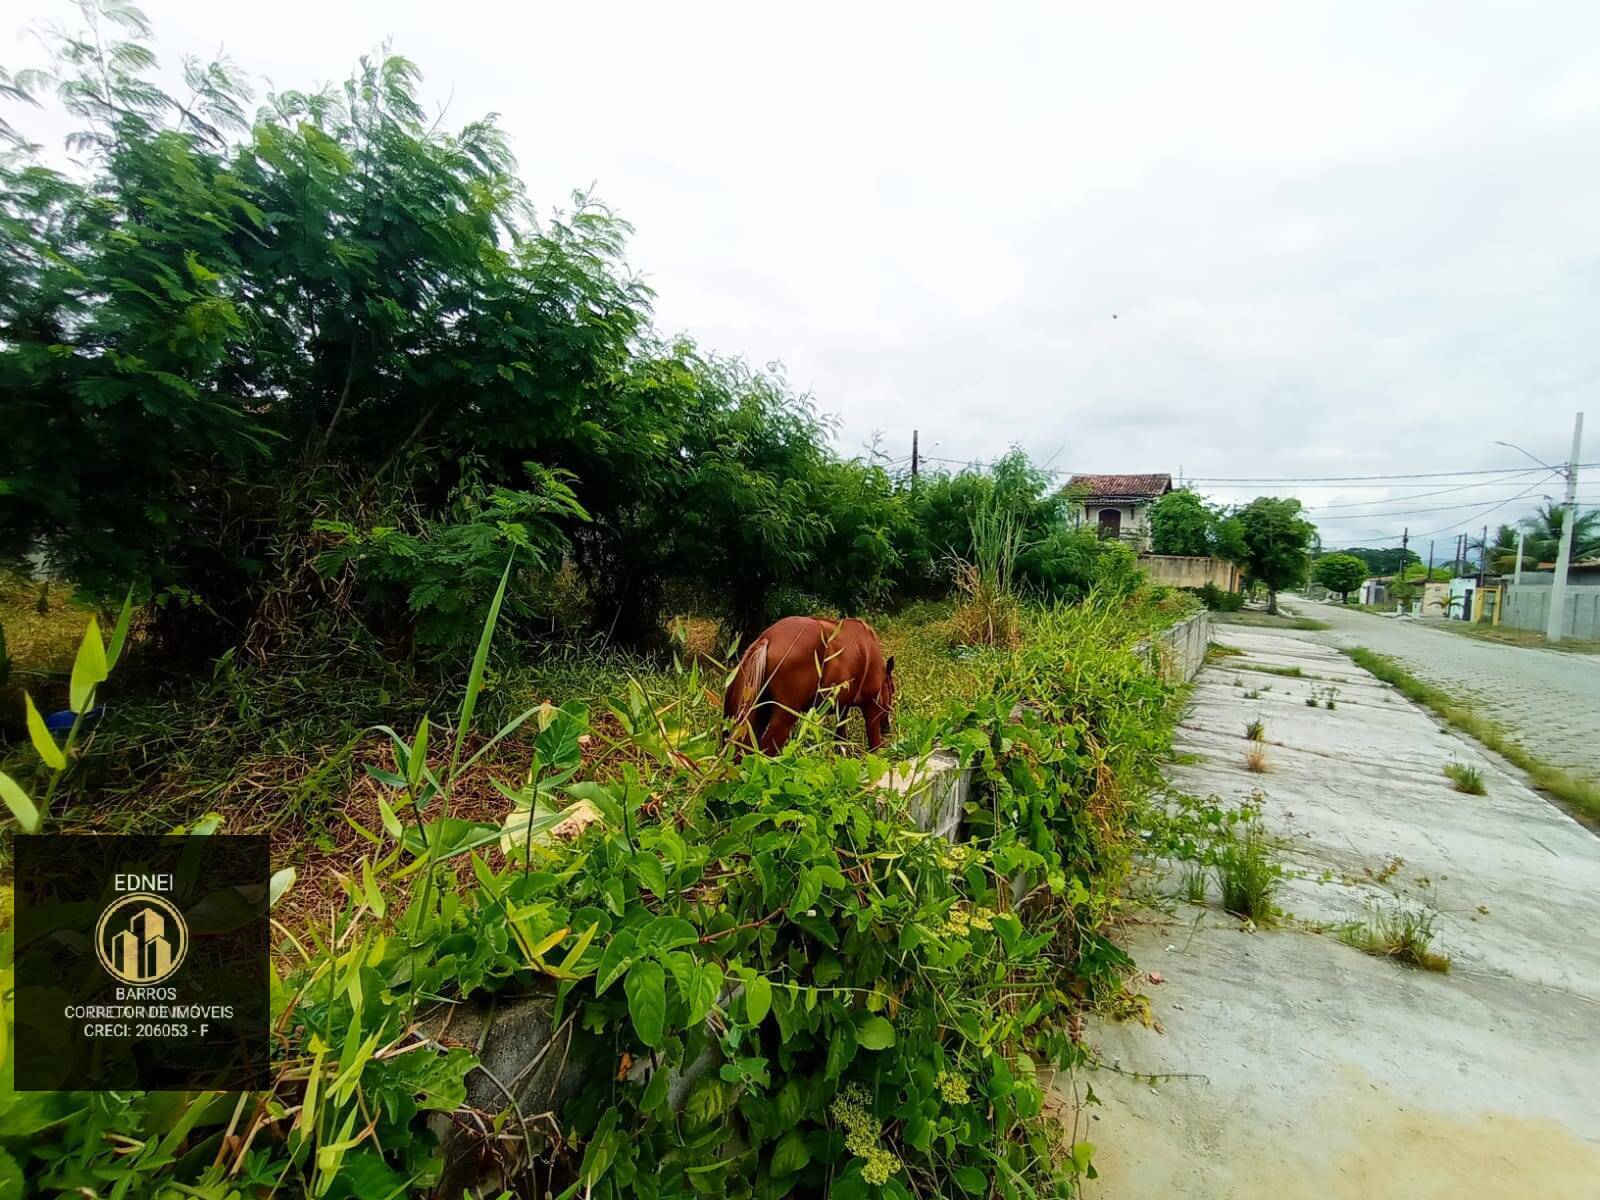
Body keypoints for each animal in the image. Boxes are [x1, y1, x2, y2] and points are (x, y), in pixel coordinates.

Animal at [729, 620, 896, 752]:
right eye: (892, 691)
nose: (887, 728)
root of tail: (767, 638)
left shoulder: (842, 707)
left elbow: (840, 740)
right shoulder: (871, 706)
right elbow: (874, 745)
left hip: (756, 713)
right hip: (784, 717)